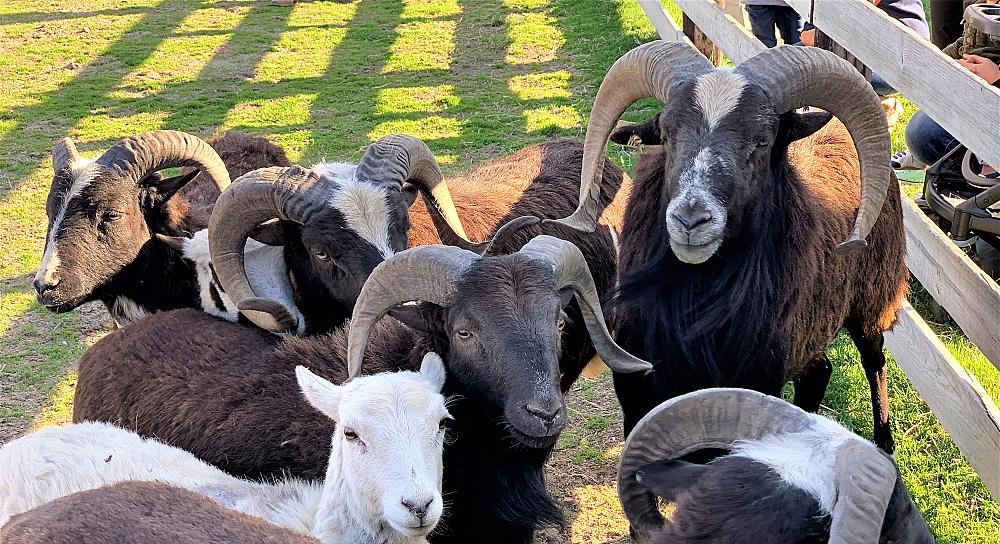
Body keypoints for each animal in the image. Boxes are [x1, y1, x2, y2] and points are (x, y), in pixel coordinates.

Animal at [547, 42, 906, 452]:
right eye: (666, 134)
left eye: (762, 140)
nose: (690, 220)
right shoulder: (638, 394)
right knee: (819, 373)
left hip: (872, 299)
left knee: (874, 361)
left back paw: (885, 444)